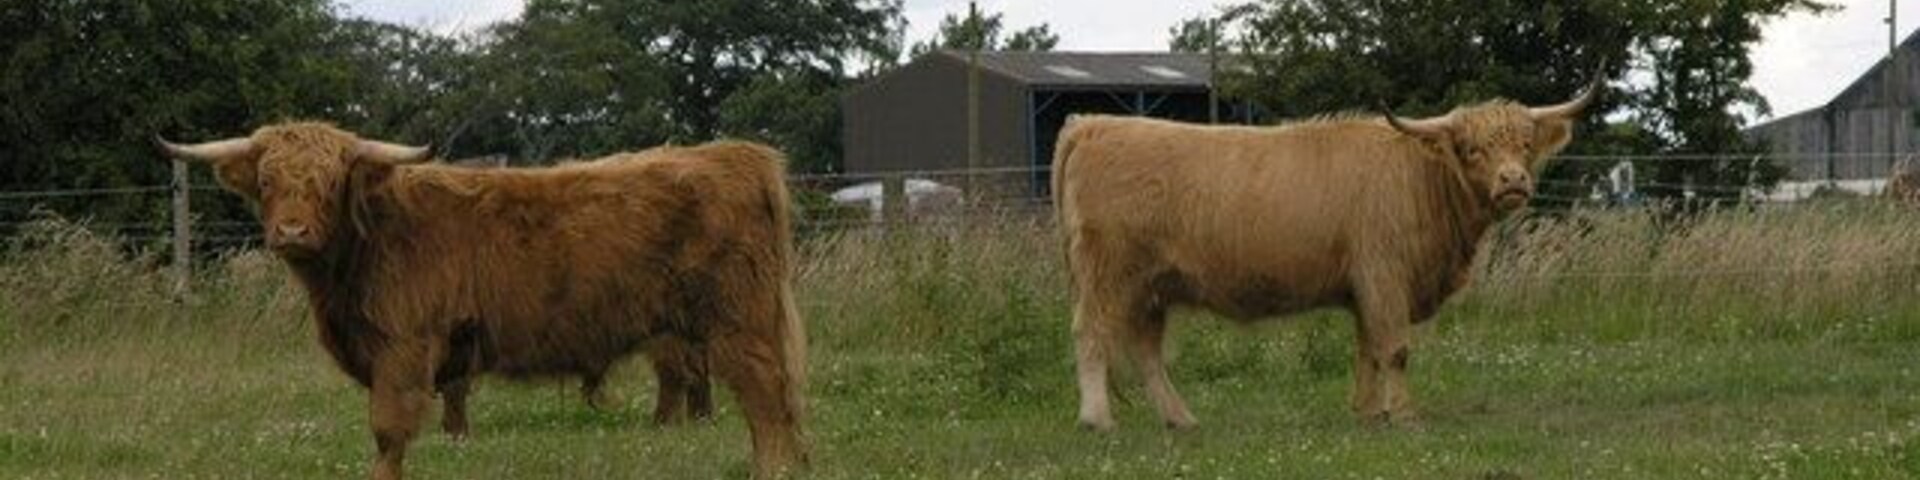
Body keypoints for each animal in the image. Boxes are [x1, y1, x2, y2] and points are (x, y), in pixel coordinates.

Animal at [159, 122, 807, 479]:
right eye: (268, 181)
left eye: (329, 182)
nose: (291, 231)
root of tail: (737, 155)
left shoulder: (404, 348)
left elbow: (389, 431)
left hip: (738, 322)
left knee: (765, 401)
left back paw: (770, 470)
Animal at [1052, 85, 1599, 430]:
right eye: (1470, 148)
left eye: (1524, 144)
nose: (1513, 181)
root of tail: (1091, 123)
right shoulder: (1385, 276)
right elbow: (1394, 349)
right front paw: (1404, 416)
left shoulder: (1365, 287)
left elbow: (1369, 350)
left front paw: (1369, 413)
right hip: (1107, 273)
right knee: (1092, 334)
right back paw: (1097, 419)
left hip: (1152, 286)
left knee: (1146, 351)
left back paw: (1180, 419)